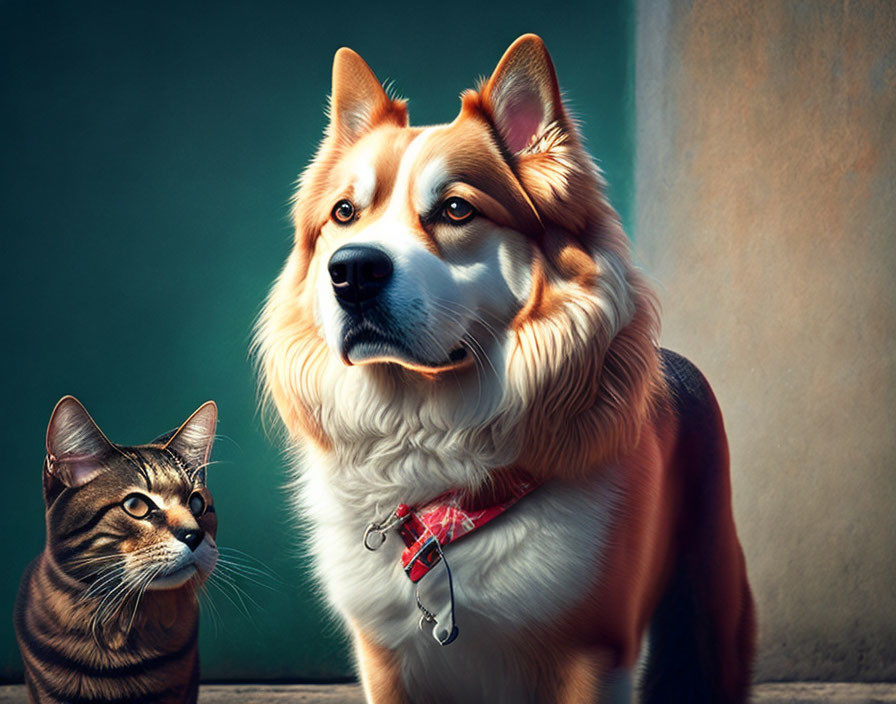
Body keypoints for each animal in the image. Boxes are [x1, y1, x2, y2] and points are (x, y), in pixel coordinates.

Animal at [254, 34, 756, 704]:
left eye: (456, 210)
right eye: (343, 214)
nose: (351, 271)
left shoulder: (594, 653)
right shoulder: (384, 658)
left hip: (708, 605)